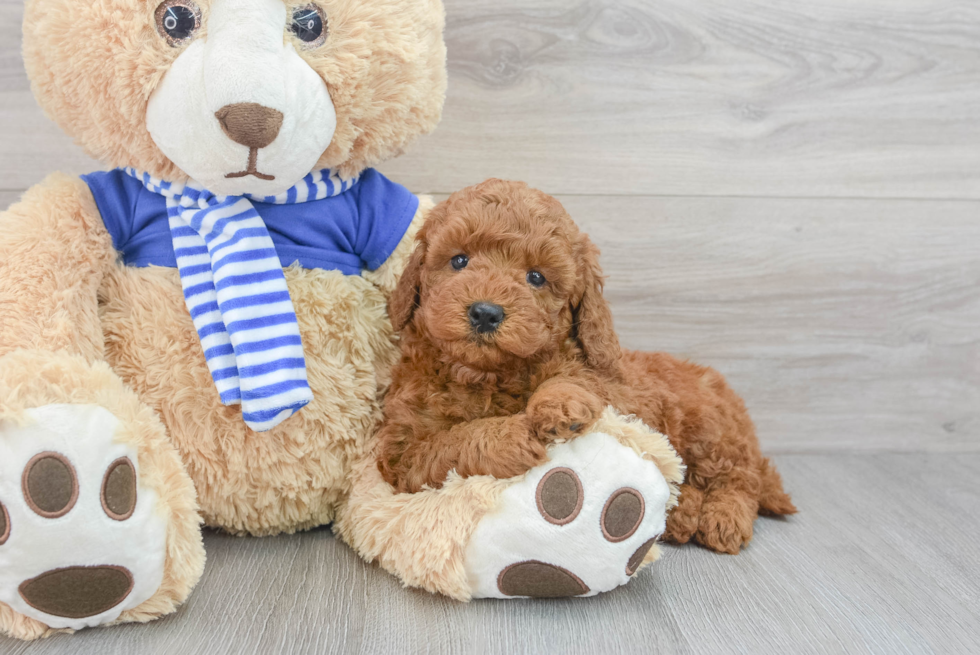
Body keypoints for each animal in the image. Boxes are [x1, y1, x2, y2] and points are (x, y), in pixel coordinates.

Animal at [378, 178, 796, 552]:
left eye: (536, 277)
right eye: (459, 260)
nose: (485, 312)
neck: (488, 374)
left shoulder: (608, 384)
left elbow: (577, 380)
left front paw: (560, 405)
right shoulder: (402, 454)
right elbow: (450, 442)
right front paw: (511, 437)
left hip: (710, 429)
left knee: (741, 479)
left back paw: (724, 518)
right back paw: (681, 515)